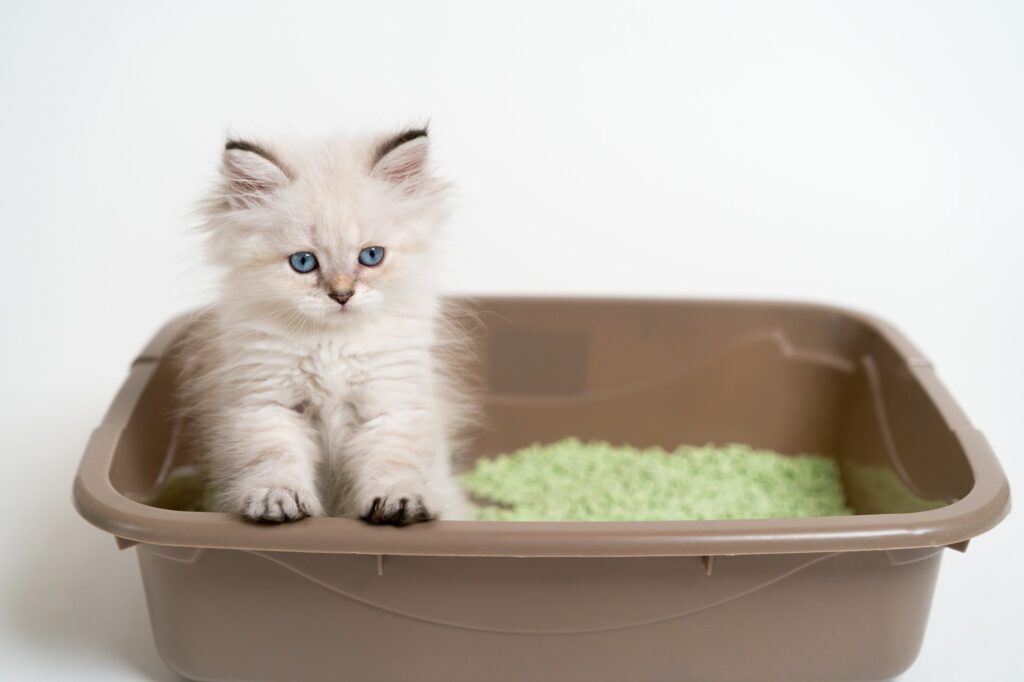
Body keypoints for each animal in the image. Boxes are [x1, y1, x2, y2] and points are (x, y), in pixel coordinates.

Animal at [179, 125, 471, 520]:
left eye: (371, 256)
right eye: (303, 262)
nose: (342, 295)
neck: (332, 344)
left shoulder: (390, 405)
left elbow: (391, 463)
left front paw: (398, 501)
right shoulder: (269, 404)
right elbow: (276, 460)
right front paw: (278, 499)